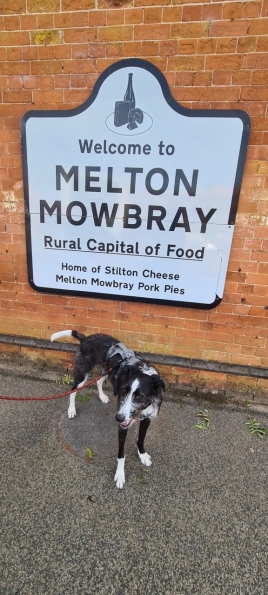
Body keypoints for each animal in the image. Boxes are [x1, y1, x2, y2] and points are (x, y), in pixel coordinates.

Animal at [50, 330, 163, 488]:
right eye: (123, 391)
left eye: (140, 396)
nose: (118, 418)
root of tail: (86, 338)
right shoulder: (123, 426)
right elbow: (121, 453)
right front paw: (120, 475)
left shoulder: (147, 419)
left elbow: (140, 439)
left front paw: (142, 455)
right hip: (83, 373)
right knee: (73, 390)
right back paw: (71, 409)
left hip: (105, 370)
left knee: (98, 381)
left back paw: (102, 396)